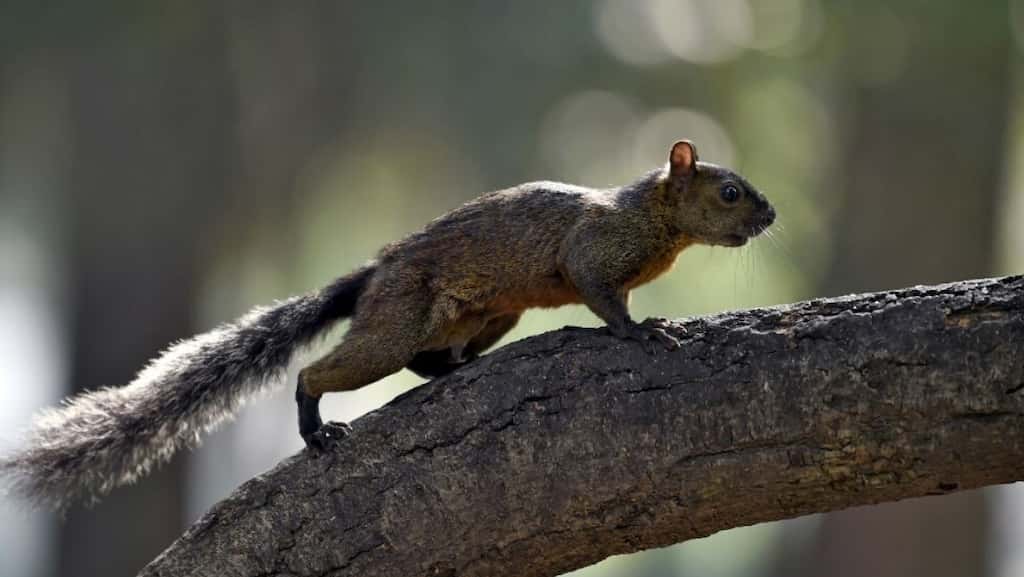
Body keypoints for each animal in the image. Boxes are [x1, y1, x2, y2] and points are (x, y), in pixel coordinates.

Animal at [0, 140, 774, 510]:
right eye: (730, 191)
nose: (770, 216)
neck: (653, 217)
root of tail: (371, 276)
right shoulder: (592, 251)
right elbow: (602, 297)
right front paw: (643, 332)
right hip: (399, 319)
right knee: (325, 369)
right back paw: (316, 428)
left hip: (492, 313)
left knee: (425, 362)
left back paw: (458, 367)